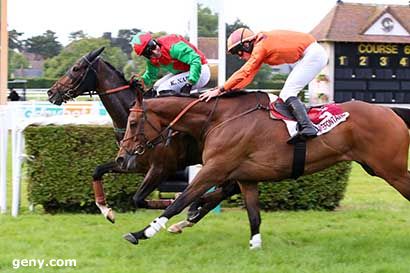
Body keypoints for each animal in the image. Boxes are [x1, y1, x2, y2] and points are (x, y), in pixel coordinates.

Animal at [46, 47, 235, 227]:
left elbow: (139, 199)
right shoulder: (131, 161)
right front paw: (106, 210)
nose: (51, 92)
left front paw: (177, 200)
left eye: (76, 68)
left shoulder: (162, 167)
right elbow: (98, 170)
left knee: (227, 189)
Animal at [117, 92, 410, 248]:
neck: (220, 118)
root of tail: (391, 112)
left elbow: (180, 202)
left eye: (132, 122)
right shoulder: (245, 177)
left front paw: (142, 233)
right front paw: (255, 245)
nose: (122, 156)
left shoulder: (214, 169)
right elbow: (253, 215)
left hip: (391, 169)